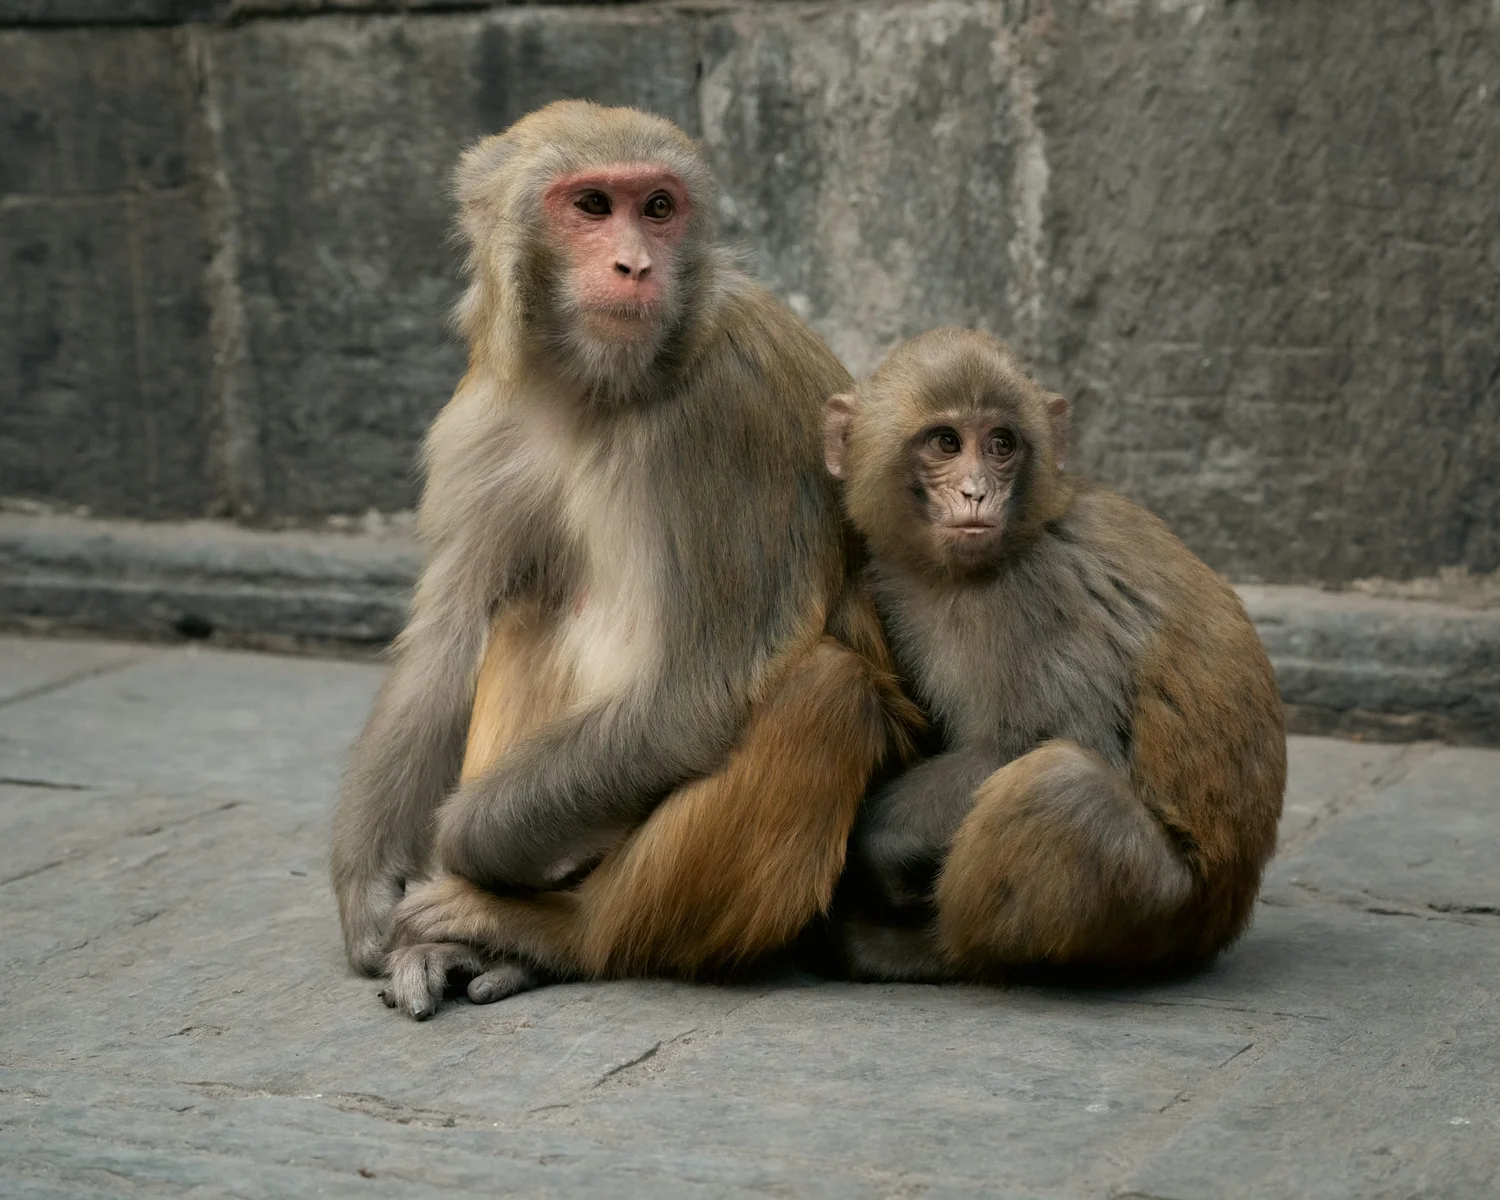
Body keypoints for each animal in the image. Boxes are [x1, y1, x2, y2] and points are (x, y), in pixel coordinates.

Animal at [327, 101, 916, 1018]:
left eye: (660, 208)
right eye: (594, 206)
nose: (634, 264)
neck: (594, 391)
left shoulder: (720, 414)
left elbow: (696, 689)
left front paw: (457, 842)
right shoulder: (485, 420)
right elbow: (446, 643)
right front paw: (368, 884)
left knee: (827, 691)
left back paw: (551, 932)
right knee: (528, 603)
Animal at [820, 328, 1286, 981]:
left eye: (1001, 444)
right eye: (946, 441)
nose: (976, 492)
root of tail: (1230, 907)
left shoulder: (1036, 597)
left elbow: (1047, 740)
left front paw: (877, 841)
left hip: (1166, 913)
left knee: (1060, 789)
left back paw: (933, 953)